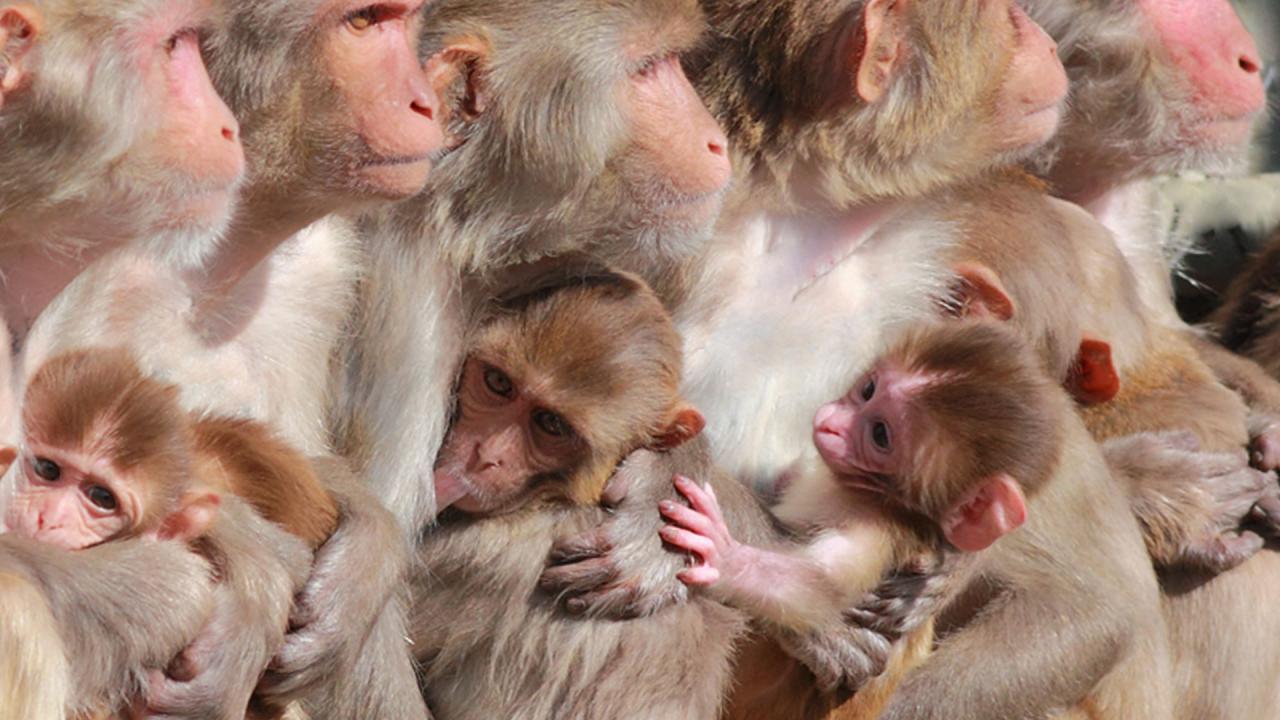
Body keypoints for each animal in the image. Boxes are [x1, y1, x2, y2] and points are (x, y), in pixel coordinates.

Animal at [27, 0, 448, 712]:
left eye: (401, 18)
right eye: (364, 23)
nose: (425, 100)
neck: (213, 258)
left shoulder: (319, 275)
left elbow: (303, 459)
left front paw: (367, 559)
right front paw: (257, 586)